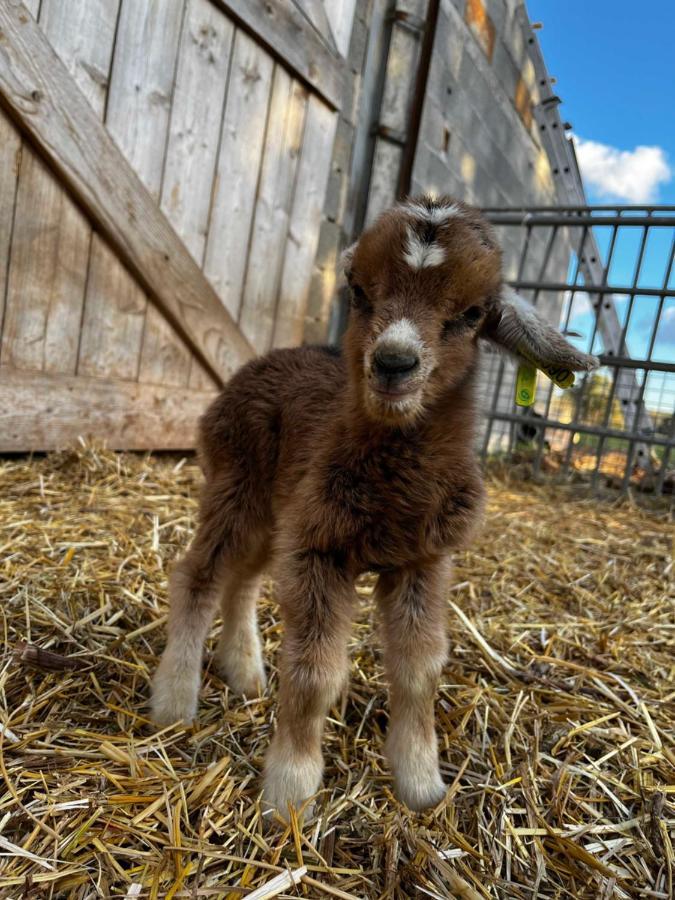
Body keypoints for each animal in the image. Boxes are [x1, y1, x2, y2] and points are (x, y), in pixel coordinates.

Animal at [152, 197, 596, 816]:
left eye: (473, 313)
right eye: (359, 291)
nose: (393, 363)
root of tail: (259, 361)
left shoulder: (422, 561)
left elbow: (420, 670)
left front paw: (422, 784)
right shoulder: (320, 548)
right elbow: (314, 671)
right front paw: (290, 793)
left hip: (278, 508)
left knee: (244, 578)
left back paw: (244, 674)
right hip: (235, 480)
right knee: (200, 573)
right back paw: (174, 701)